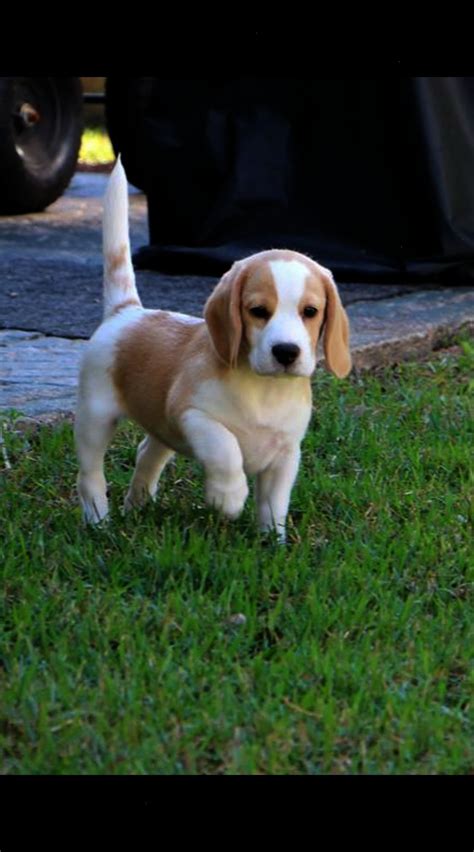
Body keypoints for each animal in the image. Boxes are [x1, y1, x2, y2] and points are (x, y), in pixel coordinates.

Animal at [75, 160, 352, 540]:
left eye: (310, 311)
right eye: (258, 311)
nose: (286, 352)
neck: (264, 390)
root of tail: (127, 312)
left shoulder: (285, 454)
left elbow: (274, 502)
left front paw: (272, 540)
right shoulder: (193, 415)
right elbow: (225, 447)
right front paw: (229, 496)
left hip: (159, 429)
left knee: (146, 452)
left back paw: (138, 505)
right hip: (96, 417)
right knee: (89, 474)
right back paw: (99, 522)